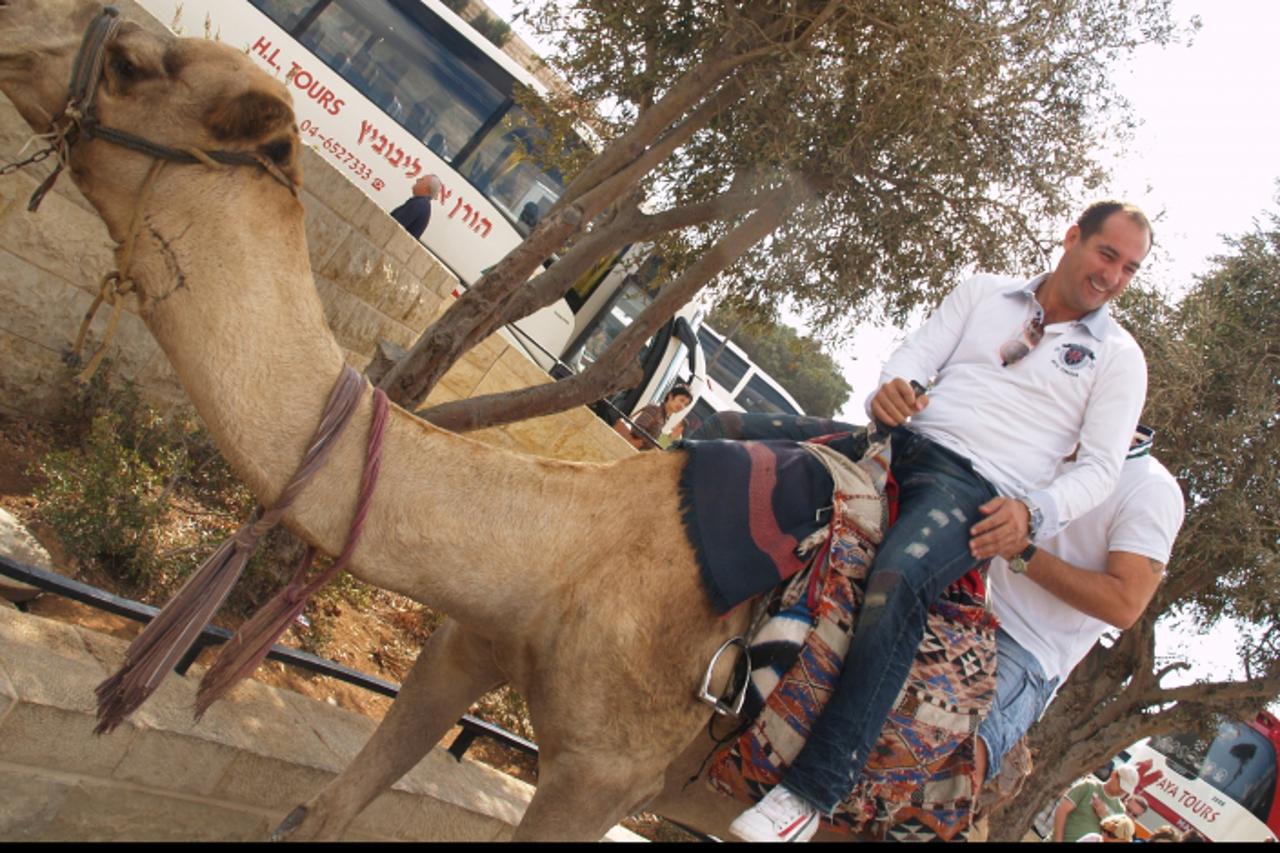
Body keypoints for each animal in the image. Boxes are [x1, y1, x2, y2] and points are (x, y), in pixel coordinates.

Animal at [0, 1, 998, 835]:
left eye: (131, 63)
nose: (12, 31)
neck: (568, 553)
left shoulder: (602, 780)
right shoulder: (464, 645)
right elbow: (320, 811)